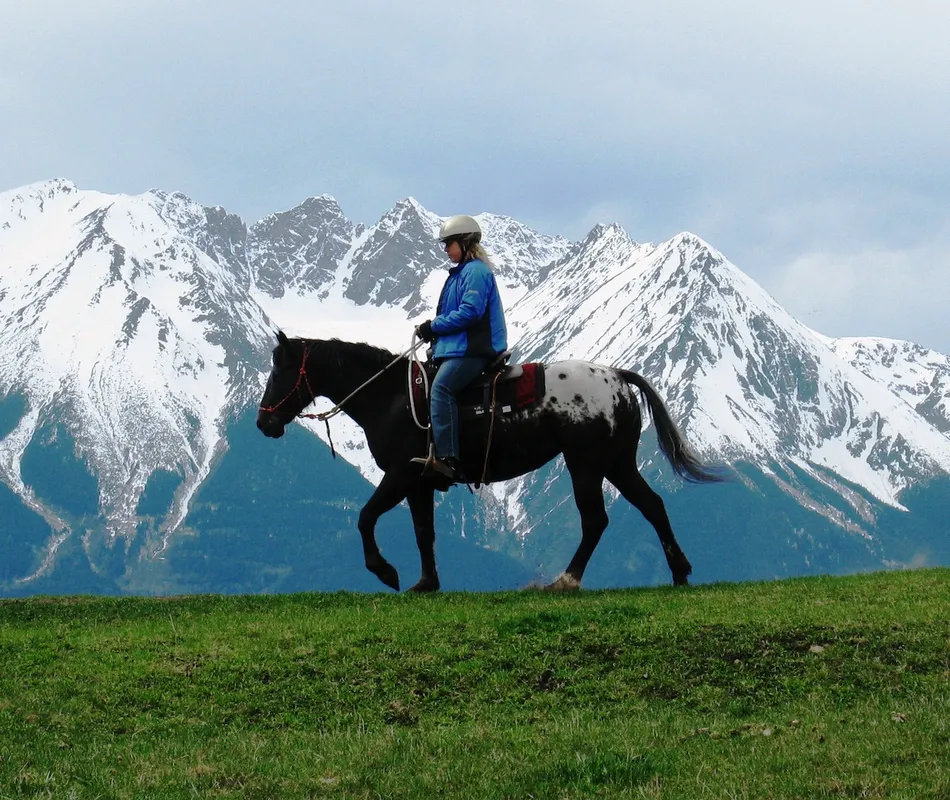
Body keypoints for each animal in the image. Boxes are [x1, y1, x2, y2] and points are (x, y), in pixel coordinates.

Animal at [256, 331, 724, 593]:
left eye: (280, 371)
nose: (264, 422)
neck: (389, 397)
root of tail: (617, 377)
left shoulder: (401, 474)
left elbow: (365, 516)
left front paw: (385, 571)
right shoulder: (419, 482)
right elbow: (424, 533)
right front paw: (426, 583)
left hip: (586, 464)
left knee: (596, 520)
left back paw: (566, 581)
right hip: (617, 463)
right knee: (652, 505)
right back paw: (679, 572)